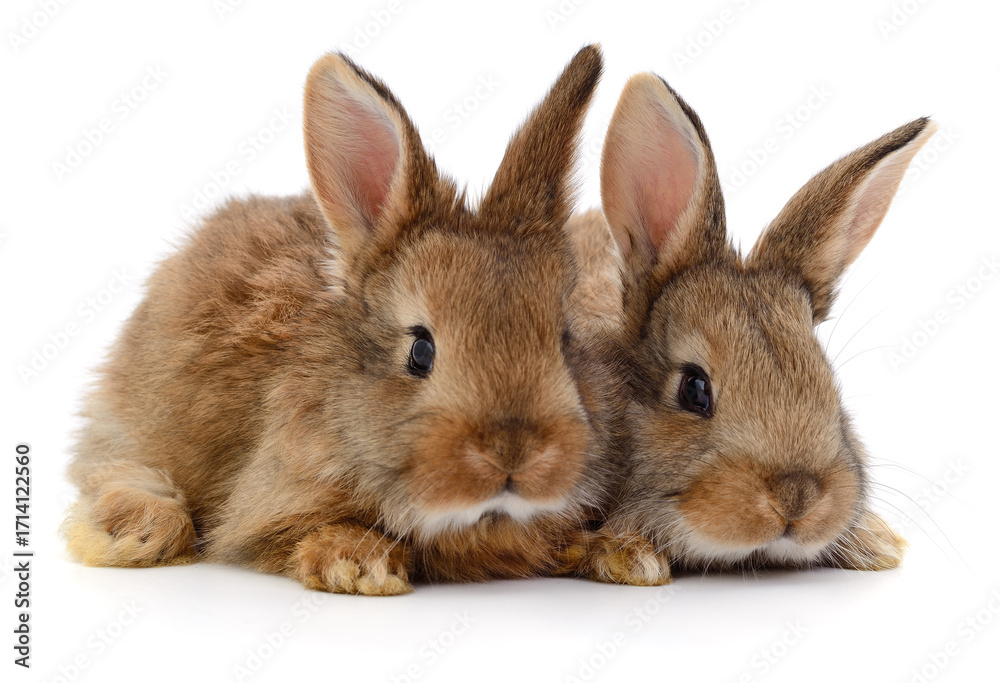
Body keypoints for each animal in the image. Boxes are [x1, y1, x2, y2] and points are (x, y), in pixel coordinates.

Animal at [62, 45, 629, 595]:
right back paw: (132, 531)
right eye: (420, 351)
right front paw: (358, 565)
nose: (514, 454)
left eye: (565, 340)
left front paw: (615, 553)